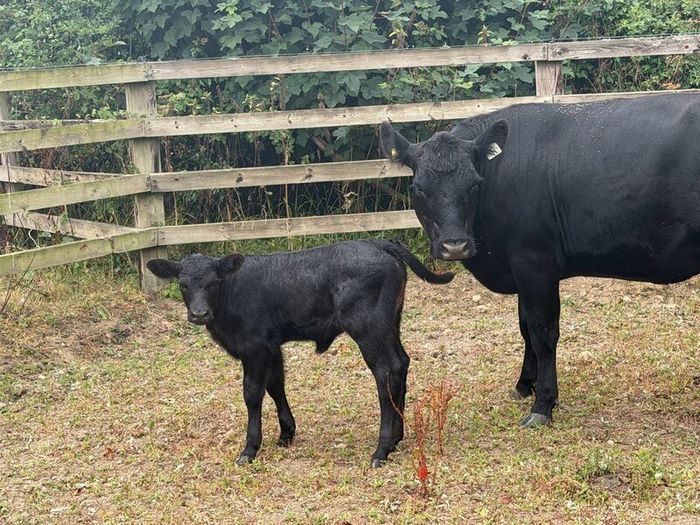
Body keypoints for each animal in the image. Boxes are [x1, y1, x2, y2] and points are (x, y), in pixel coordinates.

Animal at [147, 240, 453, 467]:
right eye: (183, 284)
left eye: (212, 283)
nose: (199, 314)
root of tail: (377, 243)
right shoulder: (271, 346)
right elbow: (276, 385)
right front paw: (286, 433)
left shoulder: (254, 348)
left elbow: (252, 394)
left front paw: (250, 448)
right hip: (390, 325)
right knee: (401, 364)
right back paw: (398, 437)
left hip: (369, 329)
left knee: (385, 373)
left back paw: (382, 449)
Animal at [380, 93, 700, 428]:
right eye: (419, 189)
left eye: (474, 184)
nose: (454, 246)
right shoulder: (520, 269)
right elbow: (524, 327)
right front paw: (524, 385)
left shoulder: (534, 263)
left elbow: (542, 332)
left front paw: (543, 404)